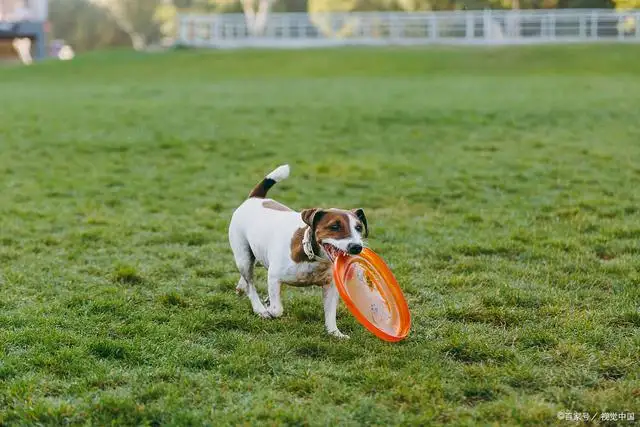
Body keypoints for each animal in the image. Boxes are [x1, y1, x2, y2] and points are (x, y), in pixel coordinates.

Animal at [230, 163, 370, 338]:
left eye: (358, 228)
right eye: (334, 226)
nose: (356, 247)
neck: (312, 257)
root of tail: (256, 198)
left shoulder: (330, 287)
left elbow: (330, 314)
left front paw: (335, 333)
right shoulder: (274, 277)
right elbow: (277, 309)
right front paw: (268, 309)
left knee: (248, 277)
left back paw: (242, 288)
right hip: (243, 256)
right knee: (250, 283)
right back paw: (259, 308)